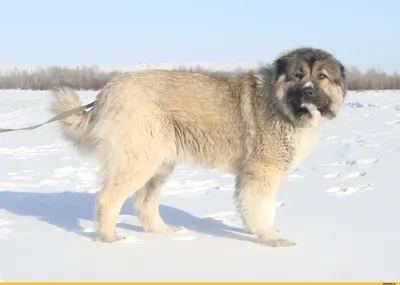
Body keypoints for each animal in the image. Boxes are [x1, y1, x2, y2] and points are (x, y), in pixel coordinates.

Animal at [51, 46, 346, 246]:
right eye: (298, 75)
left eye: (322, 76)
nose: (308, 90)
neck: (278, 102)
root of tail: (107, 90)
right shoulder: (262, 173)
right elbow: (262, 208)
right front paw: (271, 238)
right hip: (139, 160)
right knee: (107, 200)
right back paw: (111, 240)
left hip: (160, 165)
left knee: (144, 203)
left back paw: (163, 232)